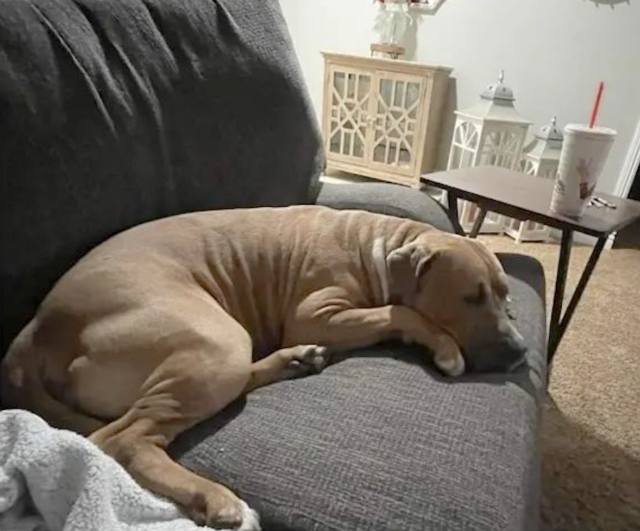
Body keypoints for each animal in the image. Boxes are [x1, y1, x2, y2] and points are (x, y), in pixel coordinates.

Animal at [2, 206, 528, 528]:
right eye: (471, 297)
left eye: (505, 295)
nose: (522, 351)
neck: (379, 248)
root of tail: (39, 329)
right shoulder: (317, 314)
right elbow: (402, 312)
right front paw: (444, 346)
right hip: (215, 339)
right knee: (122, 439)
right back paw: (219, 500)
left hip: (220, 347)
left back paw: (295, 360)